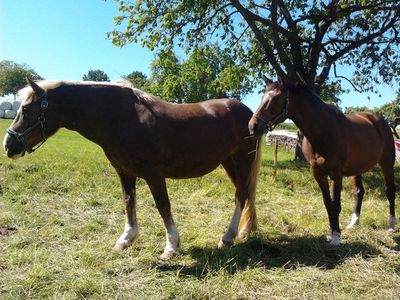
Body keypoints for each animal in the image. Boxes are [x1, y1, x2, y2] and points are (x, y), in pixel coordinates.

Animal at [3, 78, 260, 258]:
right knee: (244, 195)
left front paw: (171, 247)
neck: (123, 118)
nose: (8, 145)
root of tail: (249, 114)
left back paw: (227, 237)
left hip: (241, 161)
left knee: (241, 195)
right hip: (228, 163)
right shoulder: (124, 172)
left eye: (26, 109)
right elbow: (129, 203)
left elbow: (163, 207)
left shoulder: (154, 175)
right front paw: (125, 240)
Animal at [248, 77, 396, 246]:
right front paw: (331, 233)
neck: (324, 130)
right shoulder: (318, 173)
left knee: (390, 191)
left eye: (275, 99)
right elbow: (327, 204)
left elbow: (336, 205)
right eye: (263, 97)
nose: (252, 126)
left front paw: (336, 237)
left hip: (387, 163)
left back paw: (391, 225)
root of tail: (380, 121)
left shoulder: (336, 174)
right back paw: (354, 223)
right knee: (359, 192)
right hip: (357, 168)